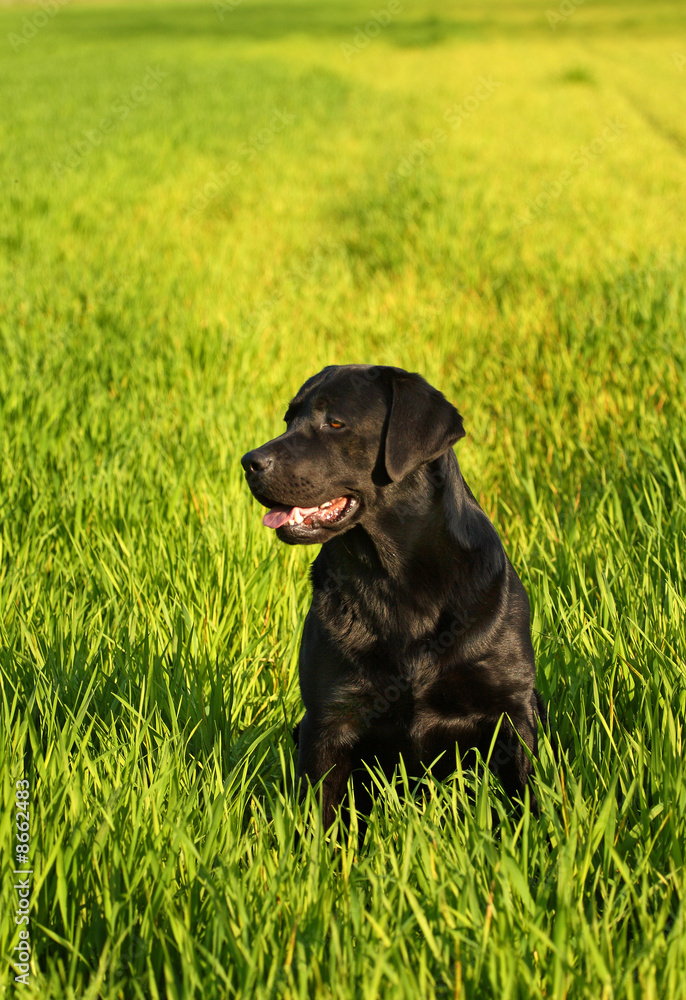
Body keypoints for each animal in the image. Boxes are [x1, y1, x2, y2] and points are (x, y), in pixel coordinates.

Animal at [242, 364, 548, 824]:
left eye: (335, 423)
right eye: (288, 420)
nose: (249, 462)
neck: (396, 578)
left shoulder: (510, 709)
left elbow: (525, 800)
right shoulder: (328, 718)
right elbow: (319, 818)